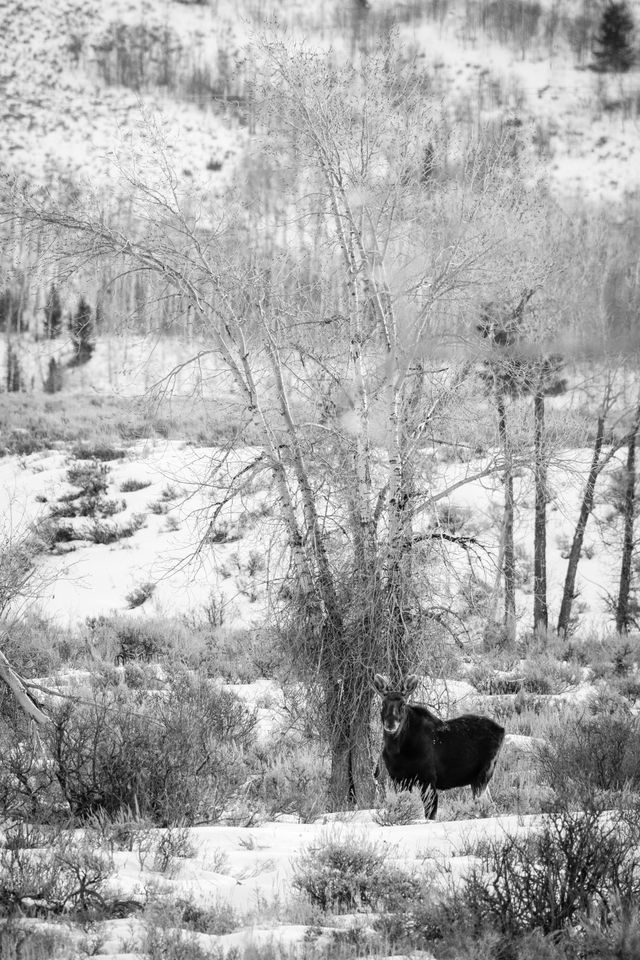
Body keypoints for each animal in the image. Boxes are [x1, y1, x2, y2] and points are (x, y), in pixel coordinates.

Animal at [376, 676, 504, 816]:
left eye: (403, 704)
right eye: (383, 703)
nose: (390, 723)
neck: (396, 750)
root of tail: (502, 730)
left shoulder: (428, 778)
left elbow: (430, 813)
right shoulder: (398, 779)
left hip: (484, 773)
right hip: (478, 779)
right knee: (490, 804)